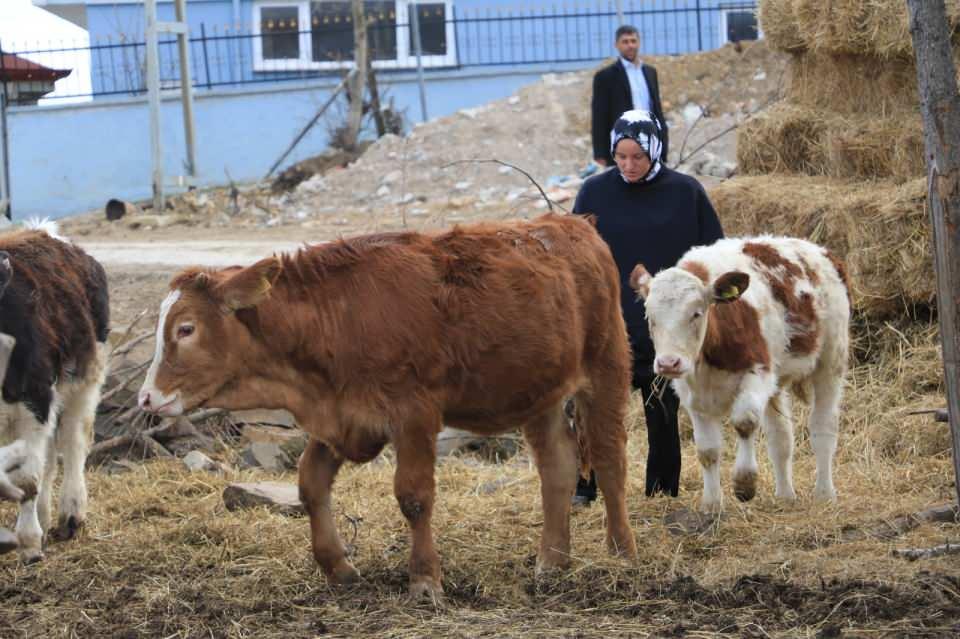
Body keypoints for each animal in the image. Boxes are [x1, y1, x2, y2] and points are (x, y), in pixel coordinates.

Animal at [141, 215, 636, 600]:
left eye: (185, 329)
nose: (146, 397)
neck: (336, 317)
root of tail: (574, 225)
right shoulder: (344, 418)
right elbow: (310, 483)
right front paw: (338, 568)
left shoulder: (414, 414)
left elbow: (414, 497)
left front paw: (425, 581)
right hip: (540, 392)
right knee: (558, 464)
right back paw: (552, 560)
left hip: (607, 365)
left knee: (609, 460)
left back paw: (622, 553)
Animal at [632, 238, 852, 512]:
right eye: (650, 317)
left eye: (696, 313)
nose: (668, 363)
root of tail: (818, 250)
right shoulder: (693, 394)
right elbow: (707, 450)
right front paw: (712, 503)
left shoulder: (757, 374)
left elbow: (744, 422)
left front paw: (745, 482)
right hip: (776, 381)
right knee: (780, 436)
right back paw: (785, 494)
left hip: (831, 360)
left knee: (823, 426)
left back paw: (824, 493)